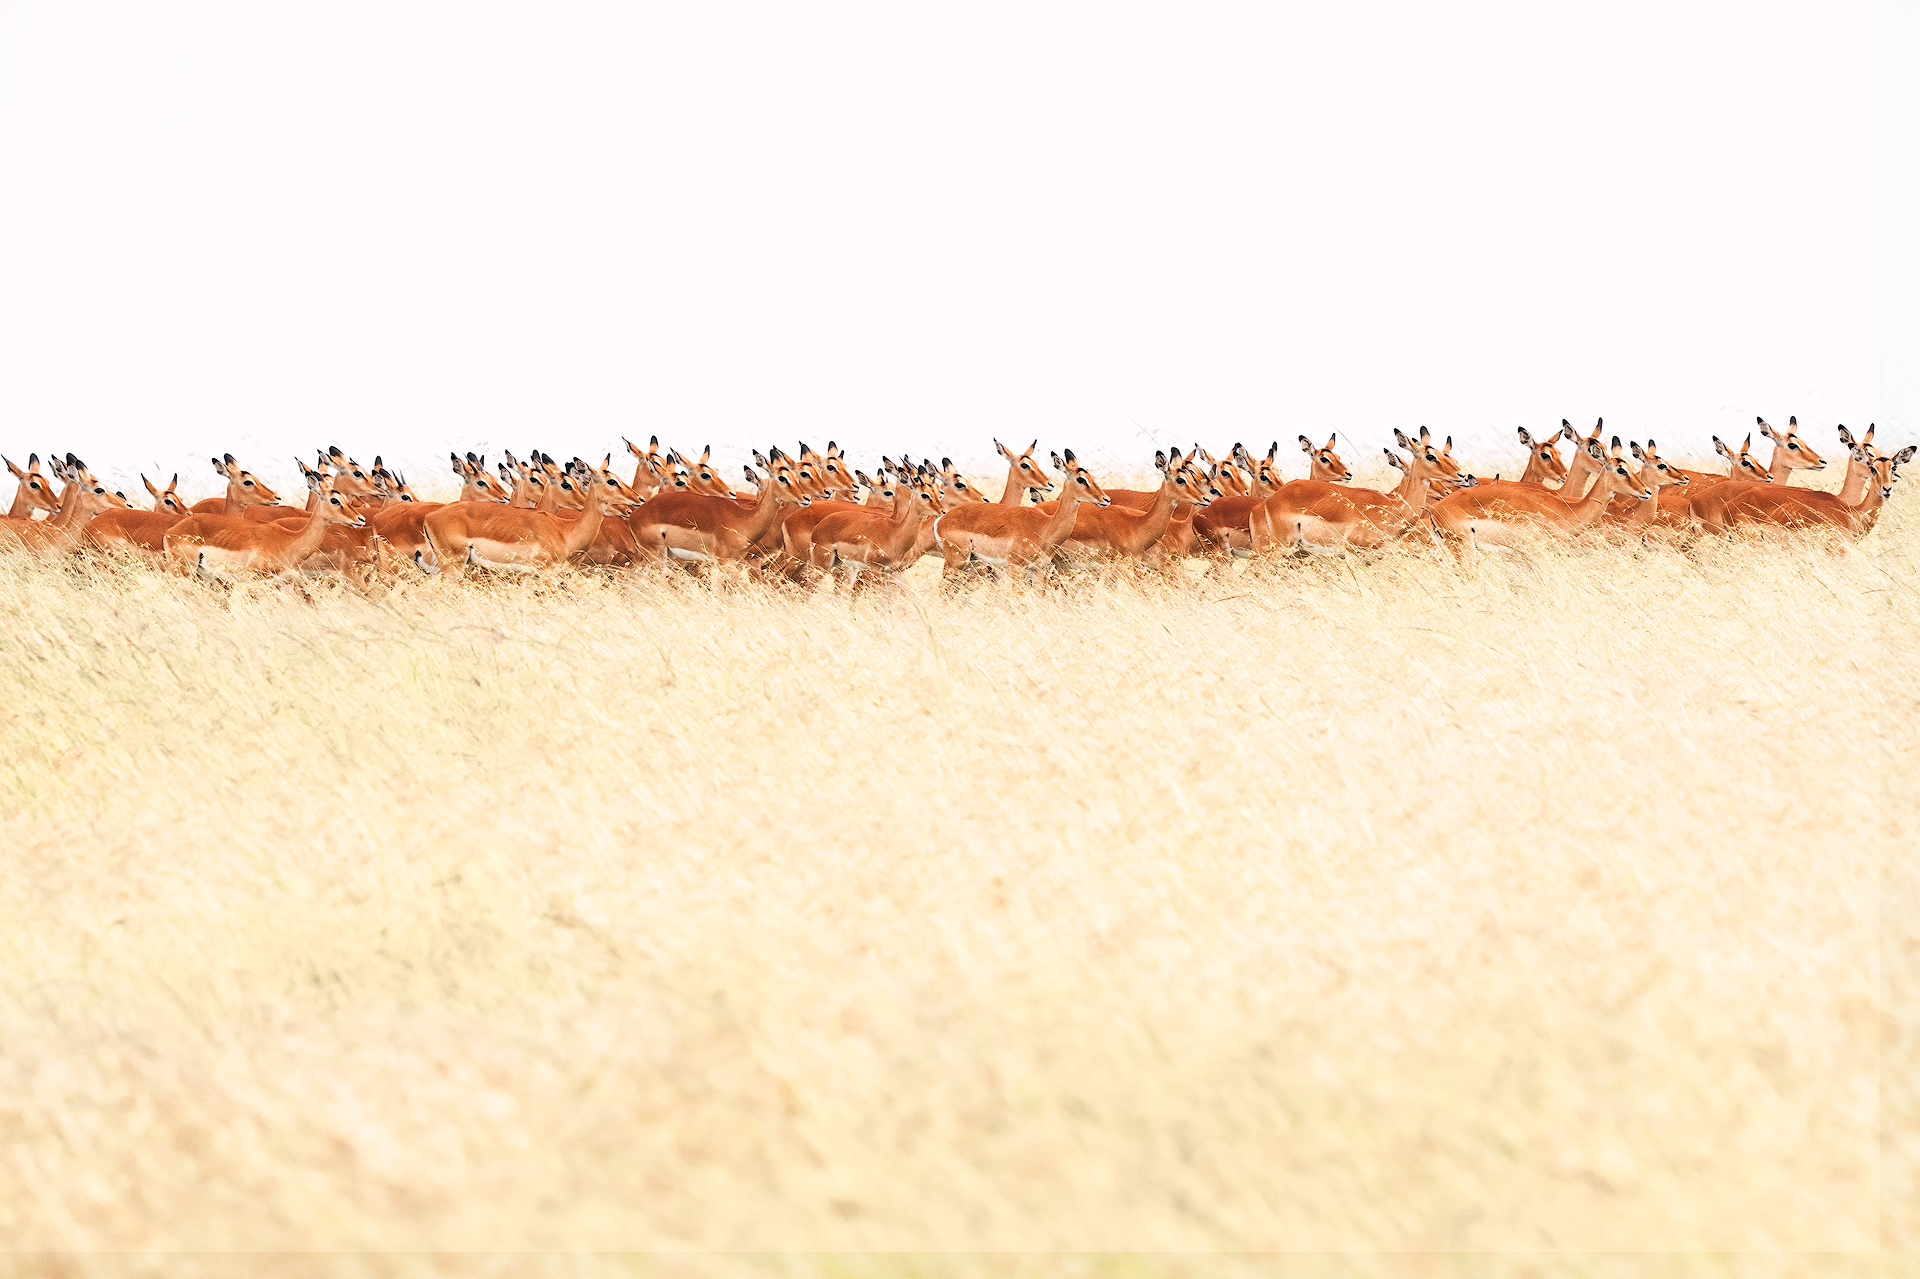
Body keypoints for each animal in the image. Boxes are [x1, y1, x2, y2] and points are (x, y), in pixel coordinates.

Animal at [932, 449, 1111, 585]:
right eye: (1081, 479)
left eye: (1092, 477)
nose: (1106, 499)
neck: (1046, 525)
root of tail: (941, 520)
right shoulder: (1015, 568)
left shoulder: (1037, 570)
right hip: (956, 563)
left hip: (970, 564)